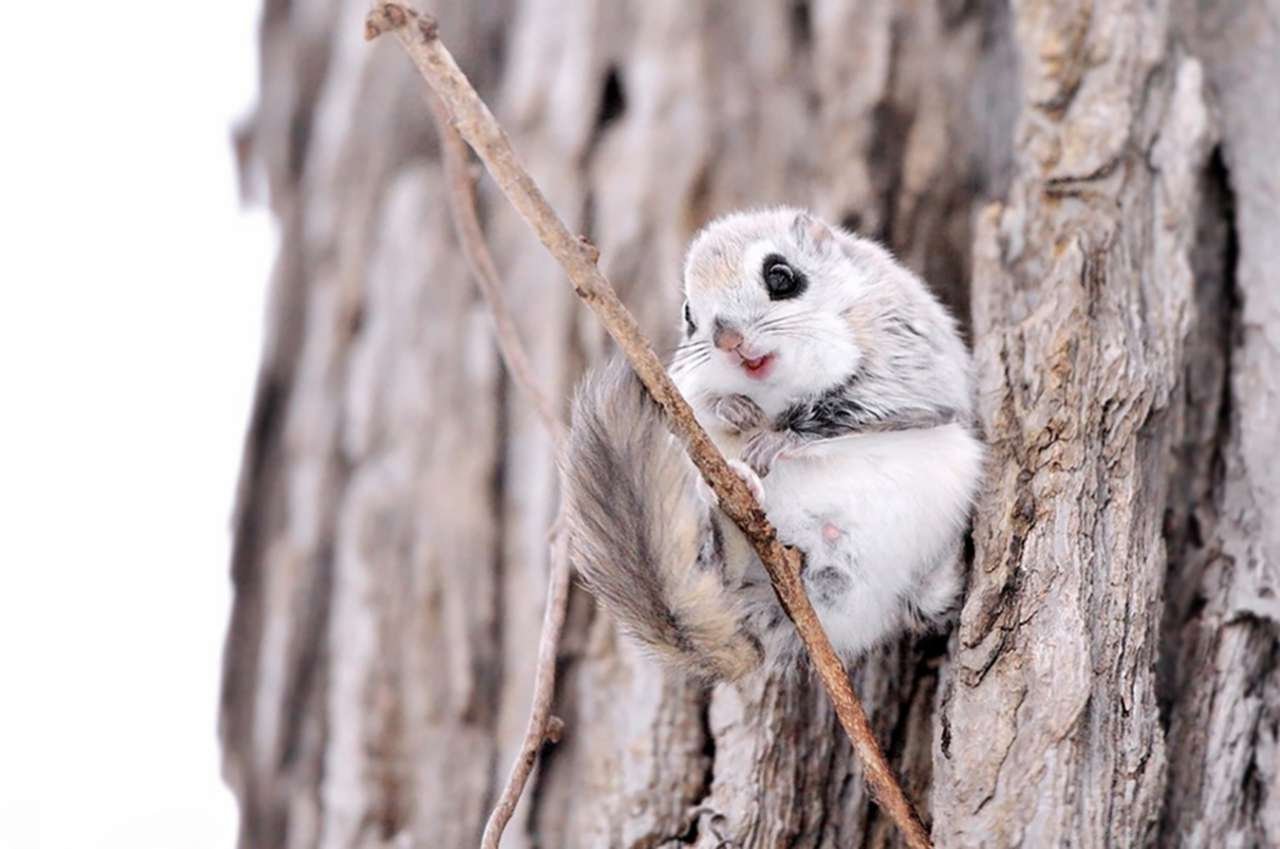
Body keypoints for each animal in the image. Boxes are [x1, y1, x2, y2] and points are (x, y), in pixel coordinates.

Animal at [560, 208, 977, 681]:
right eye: (688, 315)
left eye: (781, 276)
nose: (727, 339)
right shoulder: (684, 383)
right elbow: (699, 403)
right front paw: (732, 408)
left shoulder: (905, 360)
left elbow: (854, 409)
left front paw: (776, 440)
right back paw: (735, 489)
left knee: (925, 603)